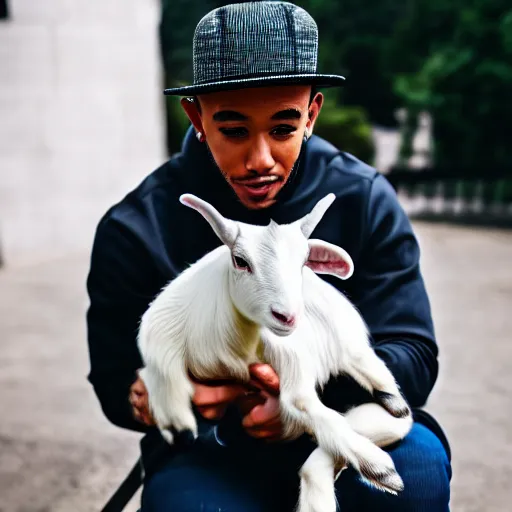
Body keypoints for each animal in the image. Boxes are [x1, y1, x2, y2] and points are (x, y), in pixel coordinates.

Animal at [138, 193, 414, 512]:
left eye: (305, 261)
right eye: (240, 261)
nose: (288, 316)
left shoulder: (309, 352)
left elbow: (316, 403)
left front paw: (381, 466)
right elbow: (304, 403)